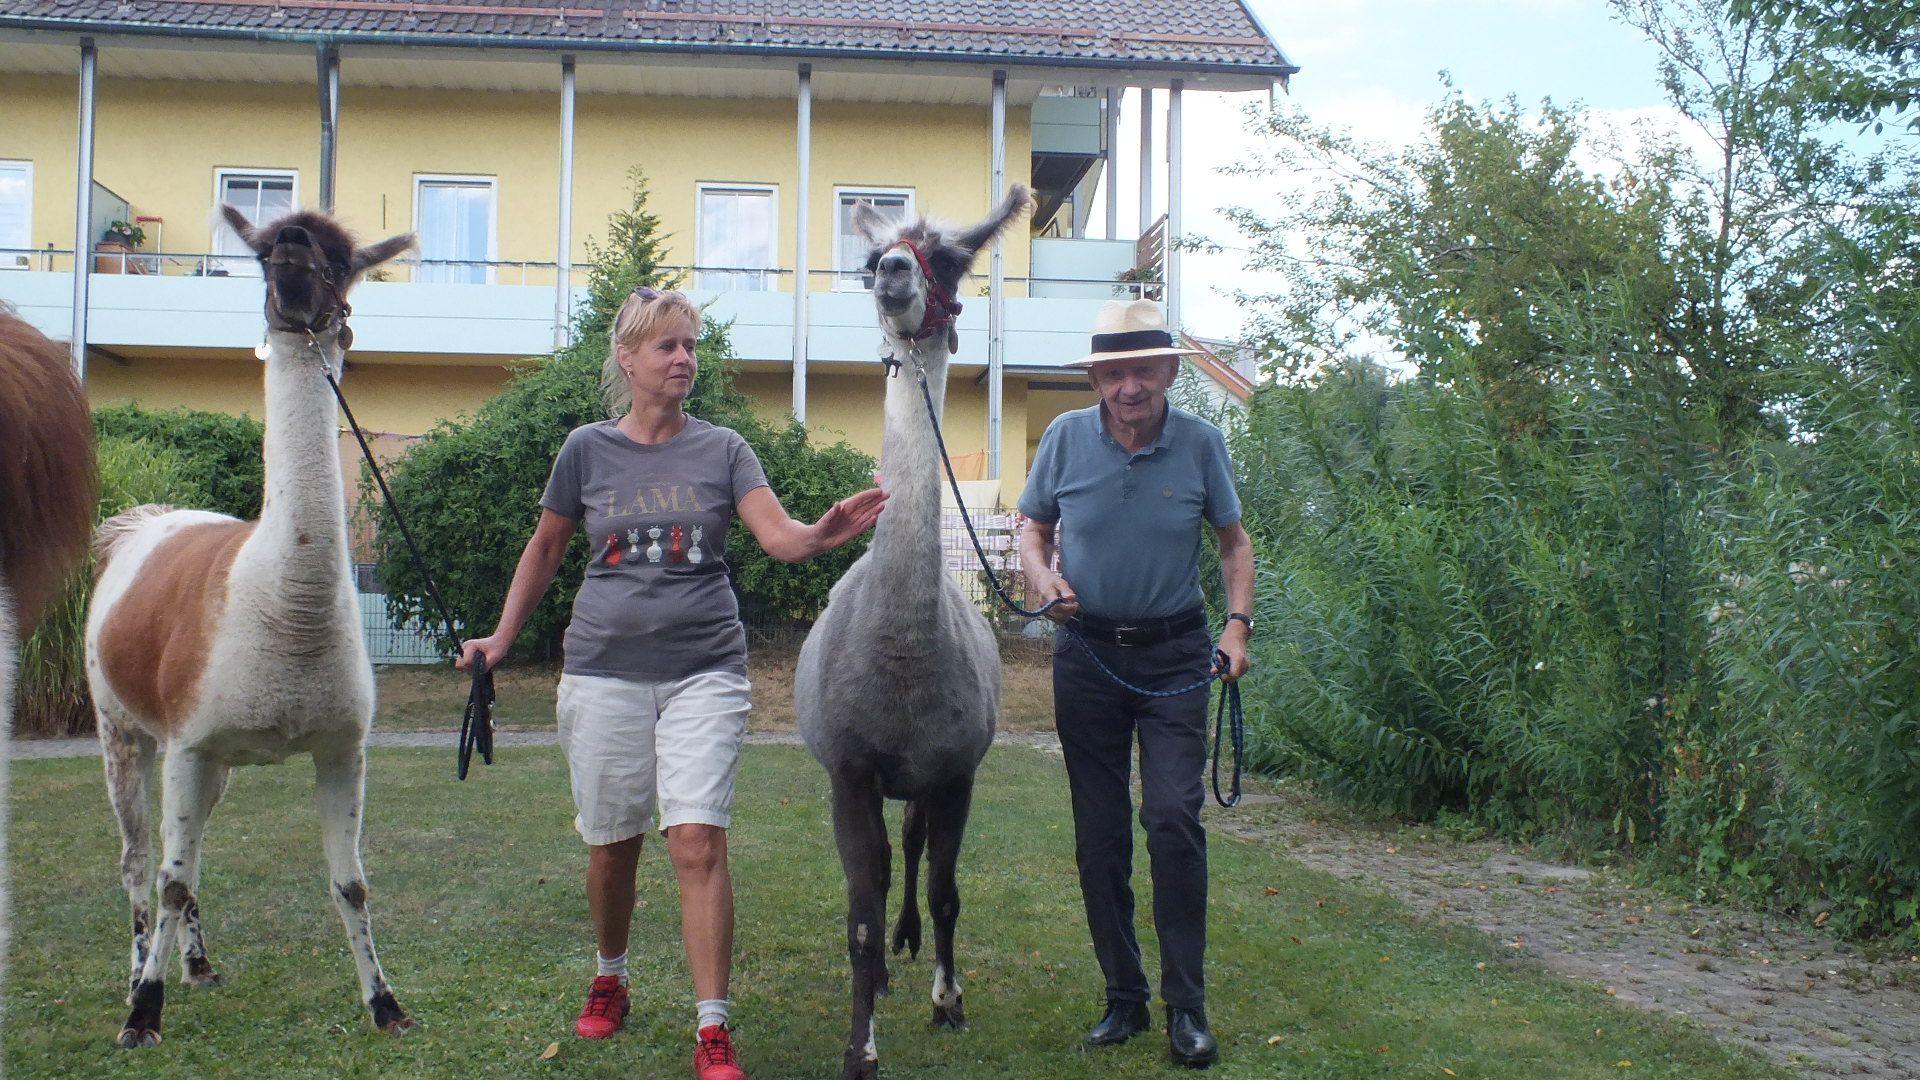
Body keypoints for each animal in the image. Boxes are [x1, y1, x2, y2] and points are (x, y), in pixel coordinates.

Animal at [84, 206, 413, 1048]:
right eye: (266, 250)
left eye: (338, 258)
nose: (293, 256)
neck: (285, 604)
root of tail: (146, 519)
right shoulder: (187, 741)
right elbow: (168, 883)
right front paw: (143, 1013)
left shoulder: (339, 744)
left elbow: (352, 883)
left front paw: (386, 1002)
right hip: (119, 722)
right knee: (140, 861)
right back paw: (138, 973)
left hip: (213, 759)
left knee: (187, 857)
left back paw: (198, 963)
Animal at [795, 185, 1032, 1080]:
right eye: (872, 254)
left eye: (953, 258)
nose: (894, 271)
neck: (900, 660)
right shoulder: (850, 769)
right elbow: (859, 914)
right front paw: (861, 1044)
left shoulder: (956, 769)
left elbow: (947, 890)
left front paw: (948, 1000)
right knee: (891, 863)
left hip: (926, 780)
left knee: (916, 849)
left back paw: (911, 950)